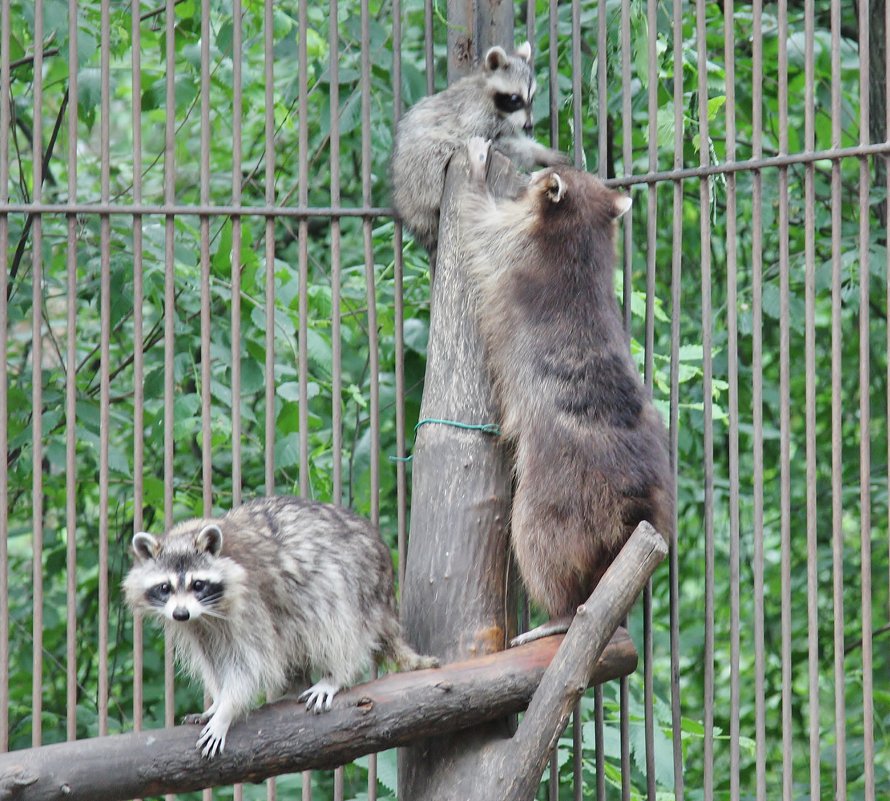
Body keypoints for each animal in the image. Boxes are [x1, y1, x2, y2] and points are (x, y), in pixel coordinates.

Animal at [122, 494, 438, 756]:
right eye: (165, 587)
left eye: (197, 584)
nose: (180, 614)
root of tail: (386, 596)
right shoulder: (199, 626)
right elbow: (215, 660)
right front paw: (217, 702)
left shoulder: (251, 604)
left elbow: (252, 662)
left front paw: (227, 709)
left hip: (357, 583)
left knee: (336, 618)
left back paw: (337, 673)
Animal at [386, 40, 560, 252]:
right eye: (514, 99)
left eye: (531, 98)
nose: (529, 125)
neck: (484, 89)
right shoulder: (474, 116)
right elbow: (497, 142)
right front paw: (536, 152)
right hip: (422, 167)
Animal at [462, 136, 668, 636]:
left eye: (537, 178)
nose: (534, 170)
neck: (582, 235)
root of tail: (635, 505)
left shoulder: (514, 250)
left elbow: (477, 223)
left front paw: (475, 171)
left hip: (560, 496)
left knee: (537, 543)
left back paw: (556, 613)